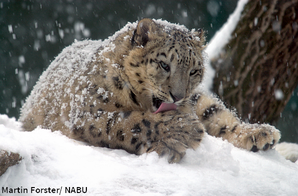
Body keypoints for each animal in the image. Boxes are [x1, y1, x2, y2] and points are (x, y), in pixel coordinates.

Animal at [19, 18, 280, 162]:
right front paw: (183, 131)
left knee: (216, 113)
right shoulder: (87, 113)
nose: (178, 96)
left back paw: (260, 133)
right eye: (164, 65)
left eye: (194, 70)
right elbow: (127, 122)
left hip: (199, 99)